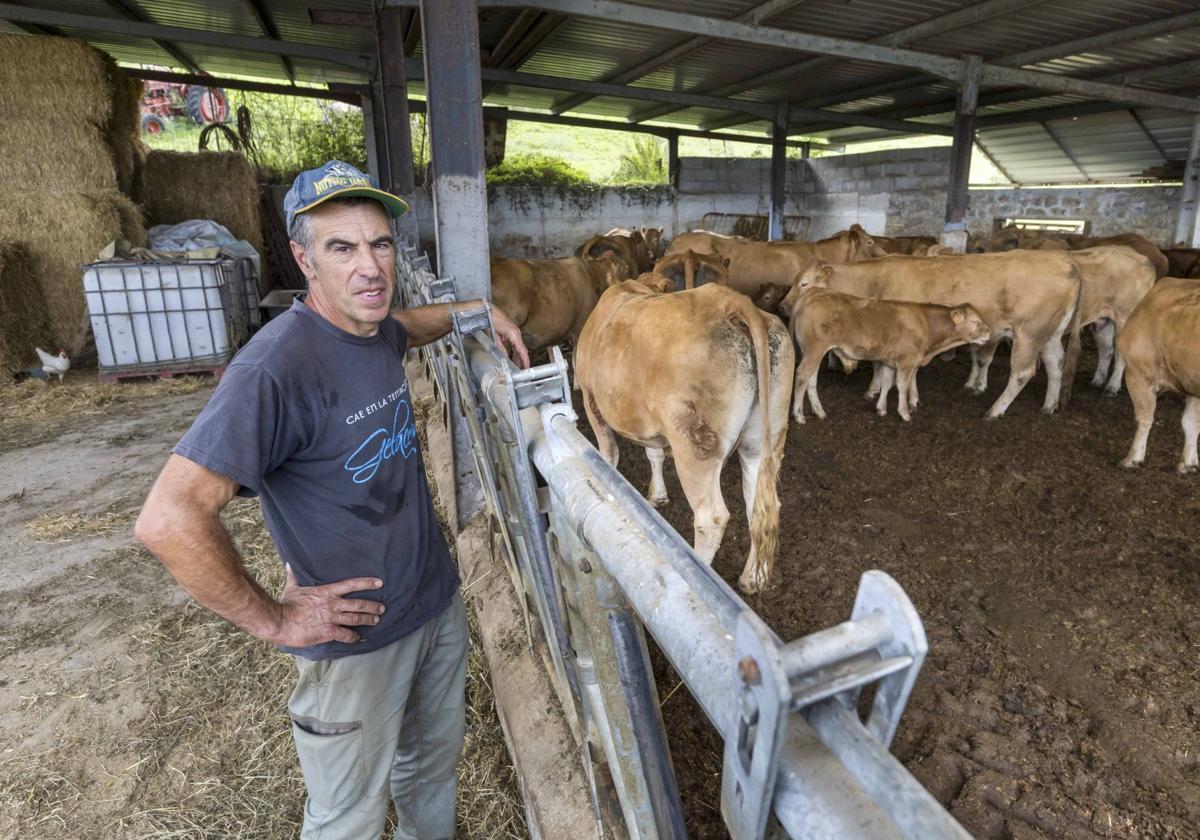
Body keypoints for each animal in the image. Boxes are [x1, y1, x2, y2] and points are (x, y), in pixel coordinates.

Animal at [576, 280, 792, 590]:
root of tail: (732, 301)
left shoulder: (590, 400)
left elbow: (608, 454)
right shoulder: (650, 424)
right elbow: (653, 453)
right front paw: (658, 496)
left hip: (693, 444)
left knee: (711, 518)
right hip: (765, 437)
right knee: (759, 506)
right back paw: (751, 578)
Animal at [782, 284, 988, 427]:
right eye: (975, 321)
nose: (989, 332)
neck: (927, 324)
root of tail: (813, 293)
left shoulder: (890, 361)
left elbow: (887, 382)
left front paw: (881, 408)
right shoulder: (907, 361)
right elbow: (902, 386)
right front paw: (904, 413)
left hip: (814, 353)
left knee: (811, 380)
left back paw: (819, 411)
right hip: (814, 351)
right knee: (802, 376)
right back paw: (799, 415)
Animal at [820, 250, 1084, 417]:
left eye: (810, 281)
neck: (875, 280)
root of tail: (1065, 260)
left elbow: (886, 368)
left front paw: (894, 398)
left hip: (1030, 334)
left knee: (1022, 373)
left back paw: (994, 411)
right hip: (1050, 334)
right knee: (1055, 364)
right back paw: (1048, 406)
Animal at [1113, 276, 1200, 472]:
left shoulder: (1138, 373)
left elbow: (1144, 417)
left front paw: (1133, 459)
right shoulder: (1191, 385)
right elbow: (1191, 423)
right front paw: (1189, 463)